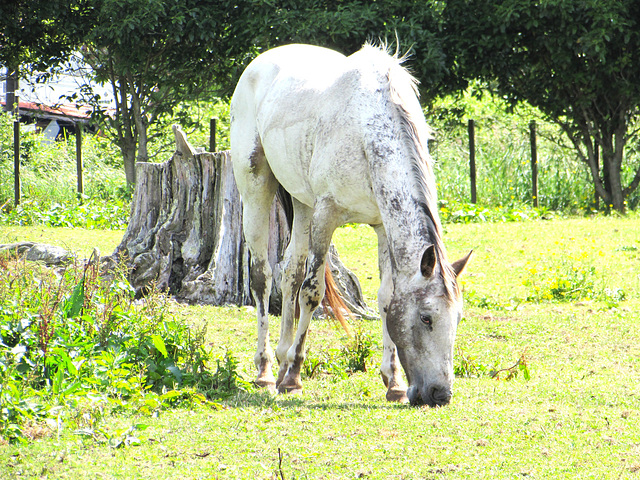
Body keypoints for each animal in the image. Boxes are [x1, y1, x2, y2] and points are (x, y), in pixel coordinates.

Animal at [230, 43, 471, 407]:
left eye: (457, 318)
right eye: (426, 317)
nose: (440, 394)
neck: (367, 130)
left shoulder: (383, 226)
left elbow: (386, 298)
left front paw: (393, 382)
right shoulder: (326, 216)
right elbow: (312, 293)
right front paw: (294, 377)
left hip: (302, 203)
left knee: (290, 272)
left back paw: (283, 358)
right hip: (257, 189)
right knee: (263, 277)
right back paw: (268, 372)